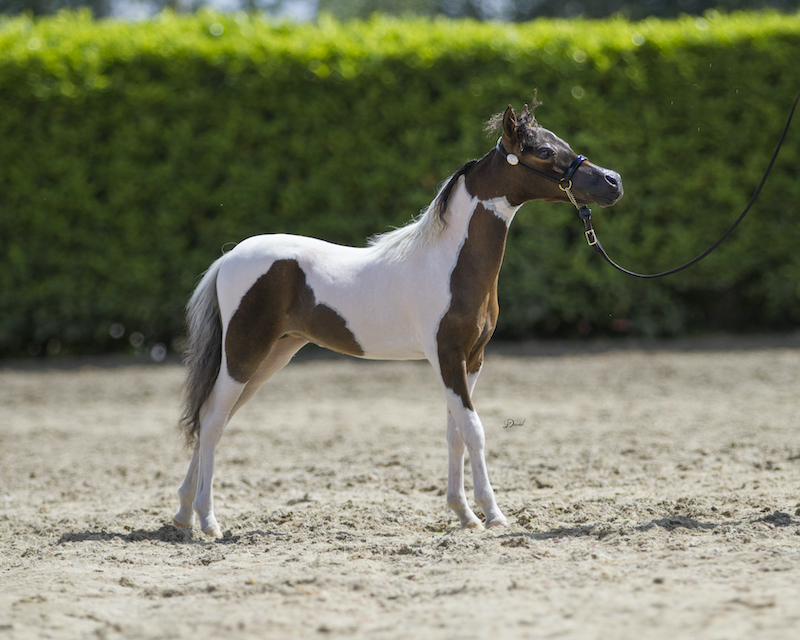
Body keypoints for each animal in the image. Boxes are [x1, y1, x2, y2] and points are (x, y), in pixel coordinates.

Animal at [173, 101, 624, 537]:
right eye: (544, 151)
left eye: (560, 142)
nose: (613, 181)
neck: (448, 263)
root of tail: (230, 257)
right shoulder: (446, 356)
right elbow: (474, 430)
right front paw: (494, 515)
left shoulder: (472, 360)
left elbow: (455, 433)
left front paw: (465, 515)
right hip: (244, 354)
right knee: (212, 422)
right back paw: (208, 521)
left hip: (270, 357)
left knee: (213, 415)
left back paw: (182, 514)